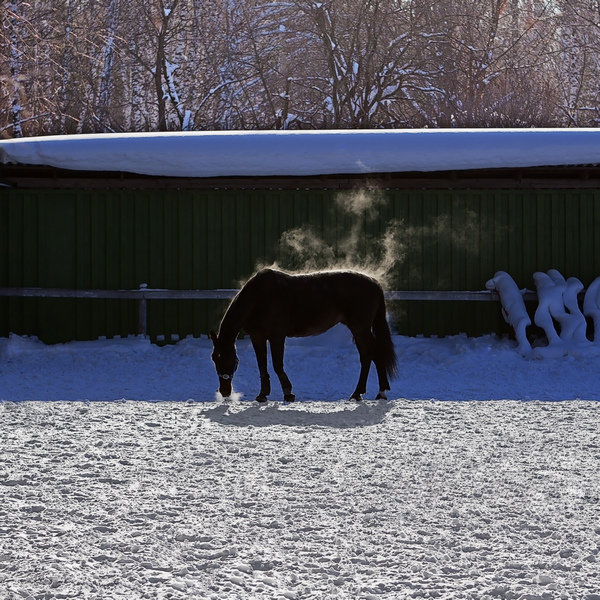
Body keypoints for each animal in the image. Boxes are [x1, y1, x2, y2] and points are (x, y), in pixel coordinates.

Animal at [211, 268, 398, 400]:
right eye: (214, 358)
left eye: (230, 359)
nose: (225, 391)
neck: (258, 298)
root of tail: (375, 283)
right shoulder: (258, 337)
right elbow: (262, 366)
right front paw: (262, 395)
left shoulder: (277, 337)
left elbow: (277, 365)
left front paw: (288, 393)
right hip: (360, 329)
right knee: (371, 355)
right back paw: (376, 392)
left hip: (360, 328)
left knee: (369, 355)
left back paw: (361, 393)